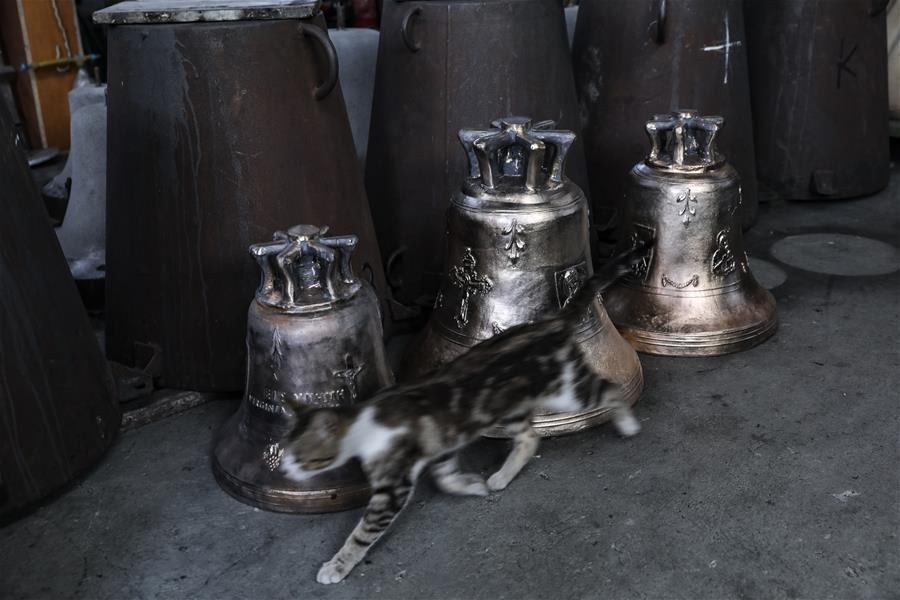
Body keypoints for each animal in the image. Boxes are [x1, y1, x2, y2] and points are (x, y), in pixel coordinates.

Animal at [282, 243, 648, 580]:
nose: (285, 470)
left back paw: (627, 425)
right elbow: (445, 480)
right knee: (530, 437)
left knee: (609, 390)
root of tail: (552, 322)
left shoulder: (393, 487)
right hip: (505, 405)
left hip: (565, 392)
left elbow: (361, 534)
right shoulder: (440, 445)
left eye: (302, 458)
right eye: (285, 452)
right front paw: (470, 486)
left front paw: (336, 566)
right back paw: (501, 477)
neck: (364, 422)